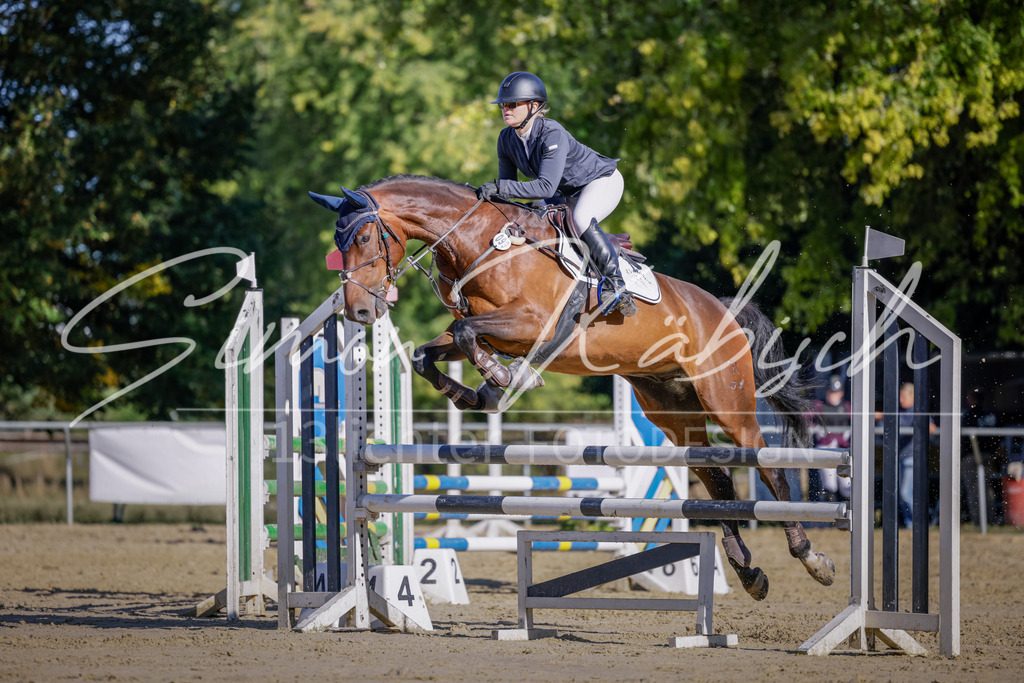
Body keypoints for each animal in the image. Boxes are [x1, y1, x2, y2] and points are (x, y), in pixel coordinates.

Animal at [310, 174, 835, 599]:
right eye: (339, 241)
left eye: (362, 237)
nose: (358, 310)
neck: (478, 242)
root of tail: (722, 309)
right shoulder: (493, 329)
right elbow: (431, 351)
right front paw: (475, 392)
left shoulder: (528, 323)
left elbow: (464, 334)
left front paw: (504, 378)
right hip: (670, 408)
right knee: (718, 476)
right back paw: (748, 572)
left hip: (727, 400)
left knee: (768, 470)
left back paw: (812, 558)